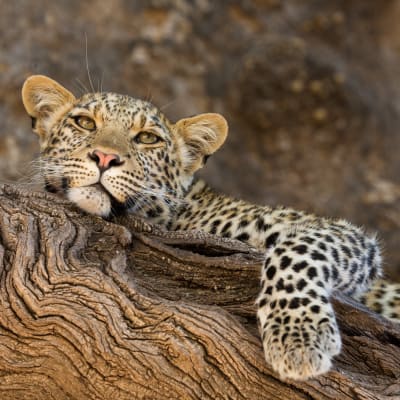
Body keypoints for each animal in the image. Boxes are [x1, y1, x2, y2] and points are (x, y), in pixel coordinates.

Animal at [21, 76, 400, 382]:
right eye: (84, 122)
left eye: (147, 138)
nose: (104, 157)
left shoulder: (337, 234)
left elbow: (296, 252)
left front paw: (298, 338)